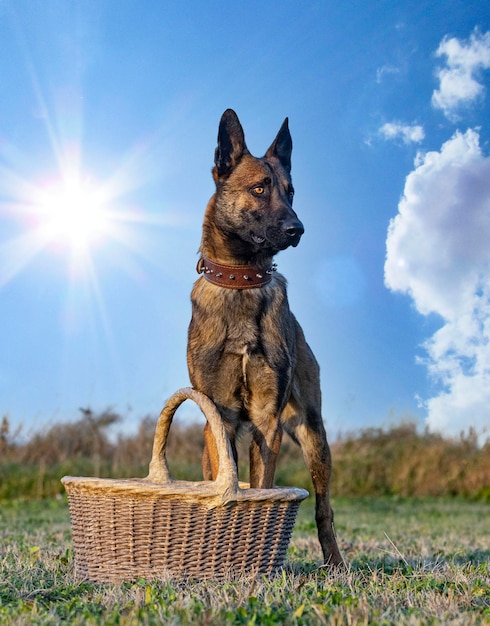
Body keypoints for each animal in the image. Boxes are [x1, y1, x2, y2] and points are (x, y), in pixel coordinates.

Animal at [188, 108, 344, 564]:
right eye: (259, 189)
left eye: (291, 192)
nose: (298, 229)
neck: (241, 282)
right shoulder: (219, 420)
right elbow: (226, 483)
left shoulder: (266, 421)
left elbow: (261, 490)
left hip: (314, 437)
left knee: (324, 508)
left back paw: (336, 563)